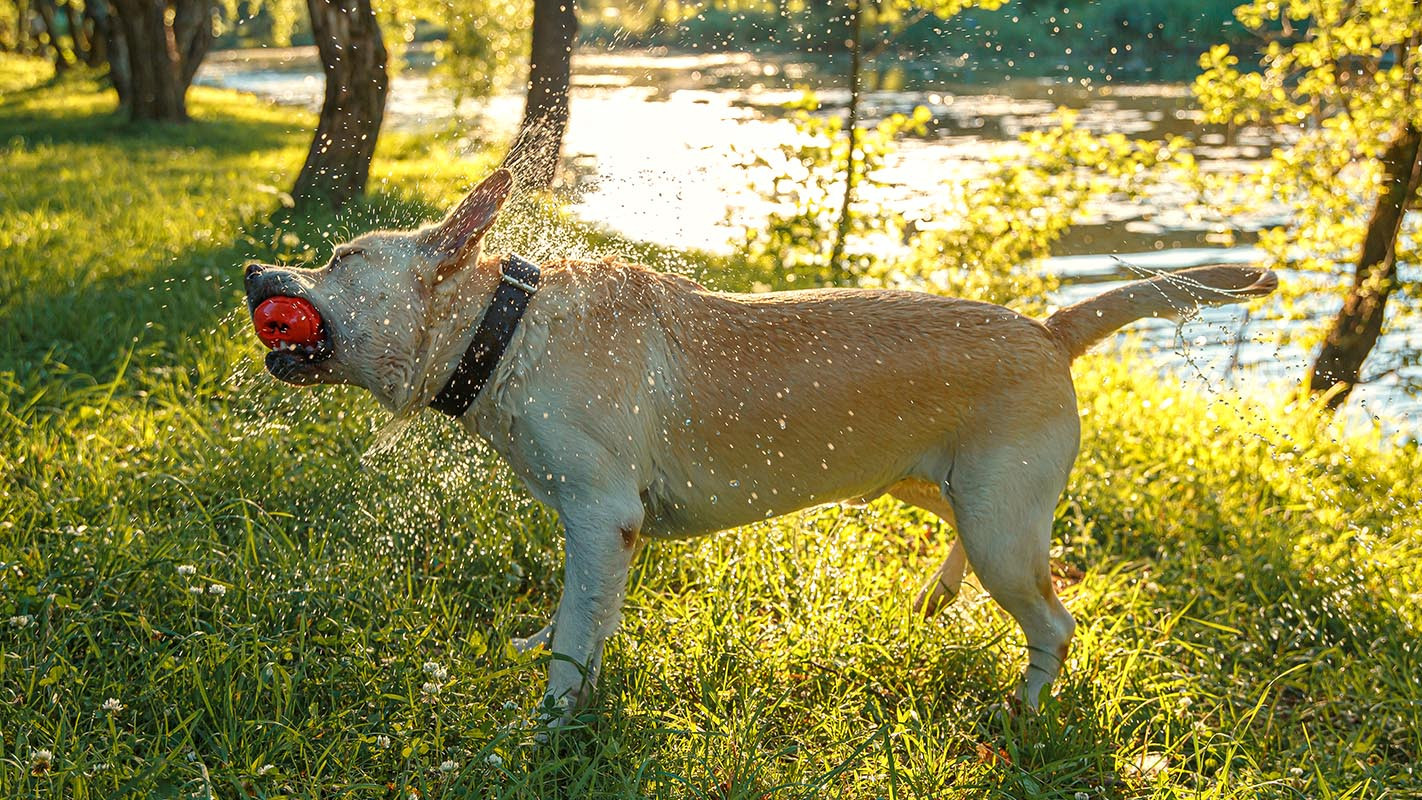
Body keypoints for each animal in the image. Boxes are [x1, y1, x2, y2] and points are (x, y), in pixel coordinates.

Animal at [241, 169, 1279, 719]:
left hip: (1000, 521)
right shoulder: (596, 531)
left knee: (1054, 621)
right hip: (938, 485)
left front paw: (548, 722)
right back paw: (936, 597)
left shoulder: (601, 515)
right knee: (986, 546)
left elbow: (580, 634)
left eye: (340, 258)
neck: (508, 323)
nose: (254, 270)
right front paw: (548, 654)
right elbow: (580, 614)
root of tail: (1050, 329)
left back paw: (1022, 709)